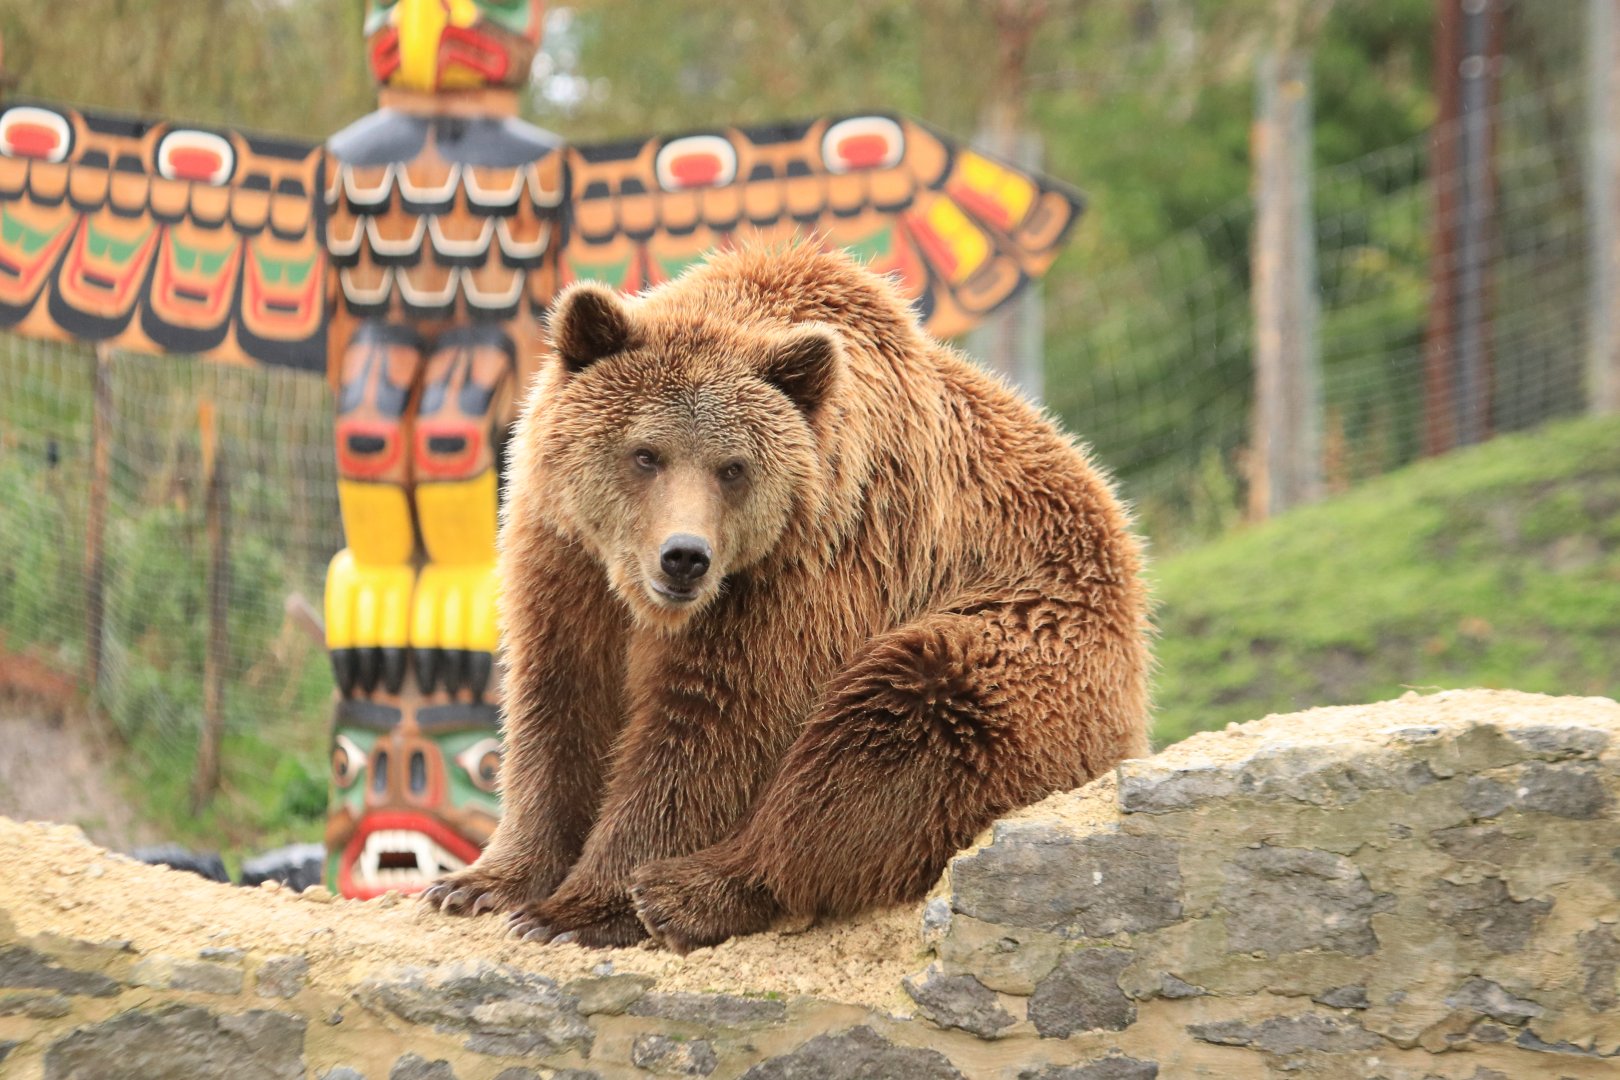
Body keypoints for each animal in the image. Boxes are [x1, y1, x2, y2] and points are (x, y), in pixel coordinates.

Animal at [422, 242, 1151, 952]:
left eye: (733, 468)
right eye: (645, 454)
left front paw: (577, 910)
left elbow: (712, 724)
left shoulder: (810, 571)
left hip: (1032, 638)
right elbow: (559, 699)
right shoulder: (565, 556)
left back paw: (685, 892)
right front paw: (480, 883)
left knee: (901, 723)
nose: (684, 556)